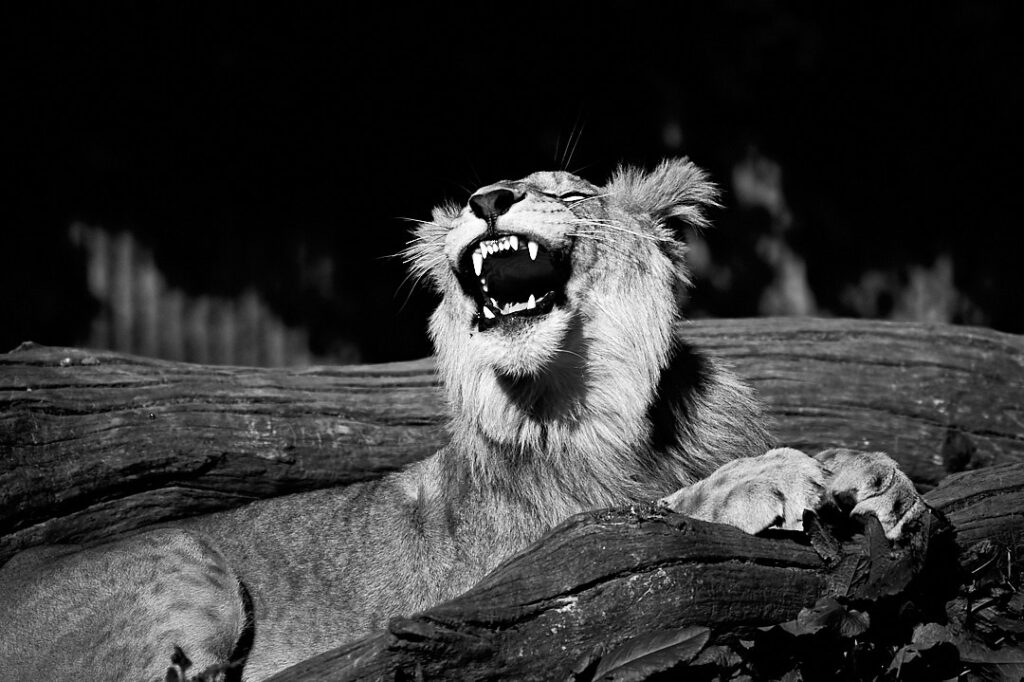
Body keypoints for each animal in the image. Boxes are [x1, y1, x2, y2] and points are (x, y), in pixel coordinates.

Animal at [0, 158, 925, 681]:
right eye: (482, 193)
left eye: (569, 191)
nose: (488, 198)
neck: (598, 409)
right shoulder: (523, 576)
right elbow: (647, 516)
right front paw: (766, 477)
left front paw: (878, 477)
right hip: (187, 567)